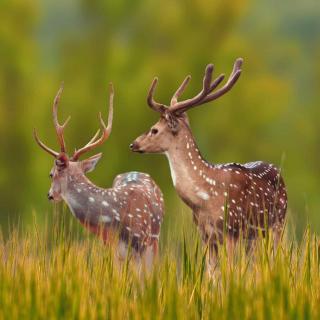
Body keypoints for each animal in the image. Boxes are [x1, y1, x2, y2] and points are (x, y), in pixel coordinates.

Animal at [130, 58, 288, 268]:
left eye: (154, 129)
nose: (133, 144)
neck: (203, 200)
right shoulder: (205, 235)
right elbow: (211, 272)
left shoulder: (231, 230)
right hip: (254, 238)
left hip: (277, 225)